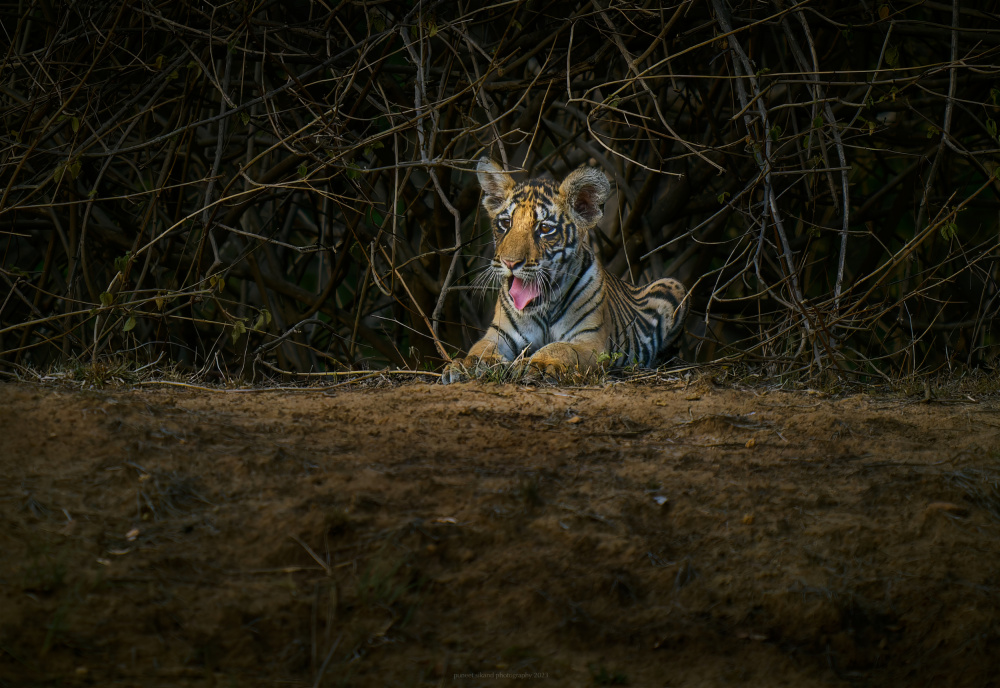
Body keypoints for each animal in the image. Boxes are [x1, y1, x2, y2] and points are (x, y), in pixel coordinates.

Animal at [440, 157, 688, 388]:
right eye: (506, 223)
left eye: (544, 228)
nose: (510, 262)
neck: (544, 307)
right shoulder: (499, 334)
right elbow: (480, 349)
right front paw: (464, 365)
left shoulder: (589, 340)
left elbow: (558, 348)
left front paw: (536, 365)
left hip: (674, 285)